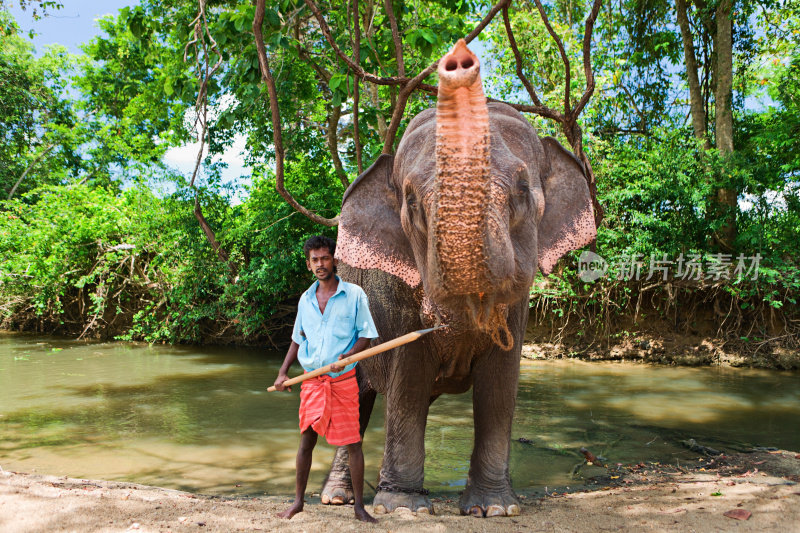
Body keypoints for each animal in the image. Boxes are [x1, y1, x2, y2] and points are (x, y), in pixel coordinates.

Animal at [318, 40, 592, 516]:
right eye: (411, 202)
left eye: (523, 189)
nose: (460, 61)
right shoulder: (400, 299)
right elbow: (408, 379)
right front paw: (404, 508)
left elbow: (499, 385)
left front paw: (494, 508)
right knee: (357, 396)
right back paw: (336, 499)